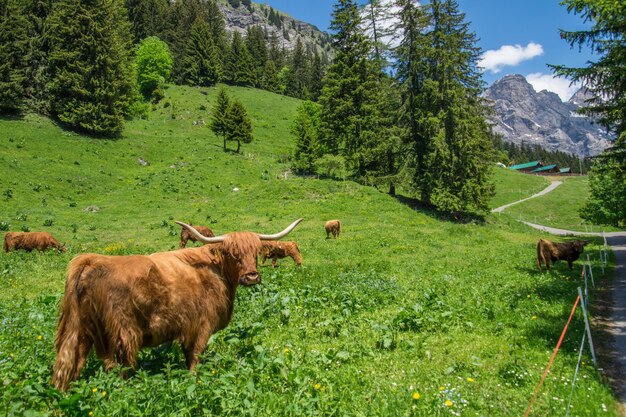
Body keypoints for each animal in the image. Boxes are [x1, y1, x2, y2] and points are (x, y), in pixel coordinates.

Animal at [52, 218, 302, 390]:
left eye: (256, 252)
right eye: (233, 253)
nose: (251, 277)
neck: (216, 270)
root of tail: (91, 260)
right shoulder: (201, 326)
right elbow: (195, 358)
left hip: (84, 332)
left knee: (76, 364)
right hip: (122, 334)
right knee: (117, 368)